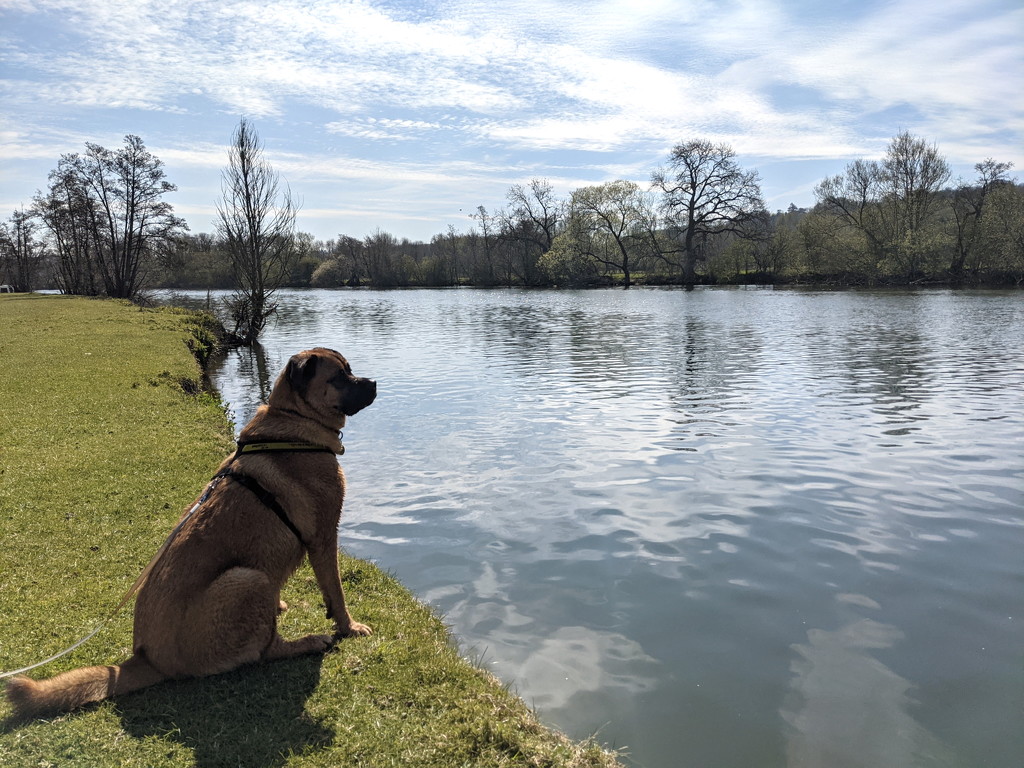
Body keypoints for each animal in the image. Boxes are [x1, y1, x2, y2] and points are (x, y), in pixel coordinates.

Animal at [8, 348, 376, 720]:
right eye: (339, 377)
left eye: (350, 370)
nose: (373, 383)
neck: (293, 423)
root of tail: (149, 659)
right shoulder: (324, 538)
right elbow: (336, 592)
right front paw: (349, 627)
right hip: (249, 579)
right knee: (266, 651)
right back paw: (308, 642)